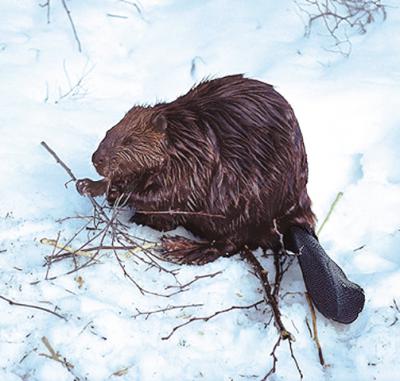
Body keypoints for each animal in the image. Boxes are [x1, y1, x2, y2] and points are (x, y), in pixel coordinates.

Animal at [77, 75, 366, 324]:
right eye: (109, 130)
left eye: (129, 139)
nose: (96, 159)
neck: (182, 137)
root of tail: (297, 223)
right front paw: (88, 185)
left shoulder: (196, 161)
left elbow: (175, 192)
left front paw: (118, 192)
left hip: (243, 205)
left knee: (228, 243)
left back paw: (178, 247)